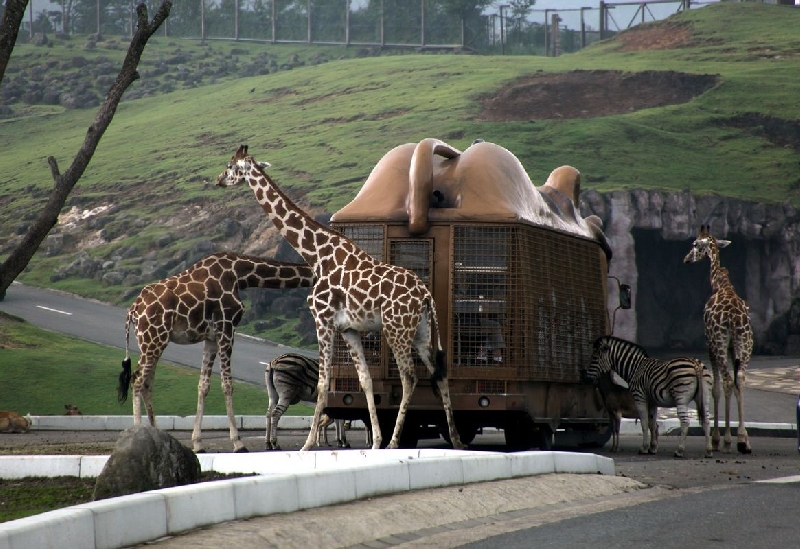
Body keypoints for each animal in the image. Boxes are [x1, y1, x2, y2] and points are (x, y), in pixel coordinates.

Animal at [116, 250, 316, 452]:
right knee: (137, 380)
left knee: (147, 383)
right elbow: (227, 385)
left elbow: (203, 386)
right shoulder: (226, 328)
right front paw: (238, 443)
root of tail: (133, 310)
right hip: (153, 339)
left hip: (153, 342)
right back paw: (138, 436)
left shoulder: (211, 337)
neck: (240, 275)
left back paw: (157, 434)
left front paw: (198, 444)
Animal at [216, 146, 466, 450]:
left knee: (409, 376)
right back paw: (456, 439)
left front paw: (308, 444)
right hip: (421, 332)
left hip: (396, 329)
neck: (315, 253)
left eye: (230, 165)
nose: (217, 180)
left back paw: (395, 442)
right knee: (439, 375)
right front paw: (374, 441)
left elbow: (323, 382)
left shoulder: (322, 319)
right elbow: (365, 380)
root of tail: (426, 295)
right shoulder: (348, 329)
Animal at [580, 334, 712, 458]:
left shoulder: (640, 397)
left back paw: (679, 451)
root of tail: (696, 364)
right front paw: (652, 448)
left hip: (681, 398)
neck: (634, 368)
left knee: (685, 422)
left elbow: (644, 424)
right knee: (706, 420)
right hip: (704, 397)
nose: (585, 377)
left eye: (594, 358)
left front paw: (643, 448)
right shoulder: (652, 402)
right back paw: (708, 451)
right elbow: (652, 424)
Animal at [684, 224, 752, 454]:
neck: (719, 284)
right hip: (745, 344)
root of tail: (733, 319)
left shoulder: (710, 343)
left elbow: (714, 388)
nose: (686, 259)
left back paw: (729, 441)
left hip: (721, 343)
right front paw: (740, 437)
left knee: (727, 381)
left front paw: (716, 439)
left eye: (695, 244)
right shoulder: (733, 348)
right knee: (740, 378)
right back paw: (743, 440)